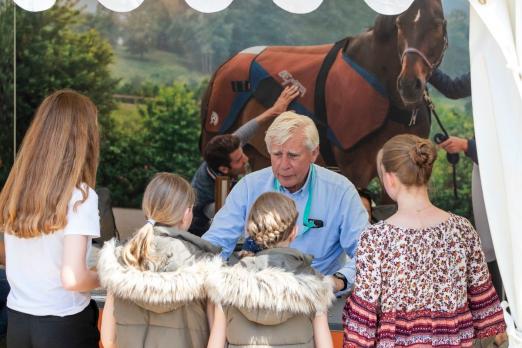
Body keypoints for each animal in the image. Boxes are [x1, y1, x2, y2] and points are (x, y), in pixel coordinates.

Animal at [198, 0, 442, 189]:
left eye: (438, 24)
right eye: (400, 24)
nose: (409, 84)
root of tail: (224, 66)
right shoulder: (353, 172)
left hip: (262, 156)